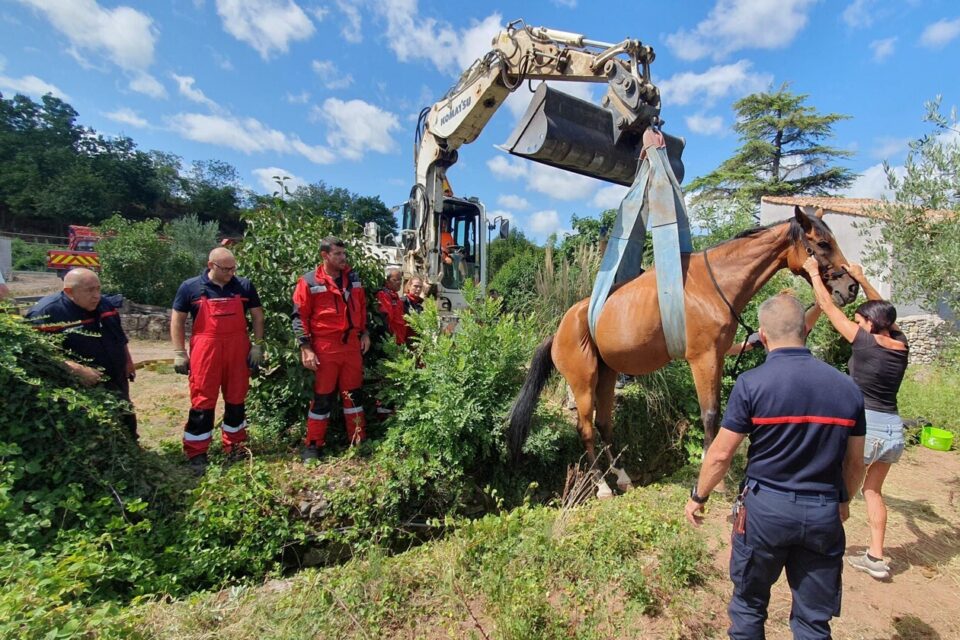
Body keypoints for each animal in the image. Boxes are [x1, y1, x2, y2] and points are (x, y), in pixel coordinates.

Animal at [506, 208, 860, 498]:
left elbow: (718, 412)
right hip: (583, 381)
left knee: (605, 424)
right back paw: (602, 486)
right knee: (586, 428)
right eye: (823, 243)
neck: (713, 286)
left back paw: (621, 477)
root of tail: (559, 330)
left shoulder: (717, 357)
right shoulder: (702, 359)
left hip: (606, 375)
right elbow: (709, 414)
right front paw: (713, 478)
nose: (851, 288)